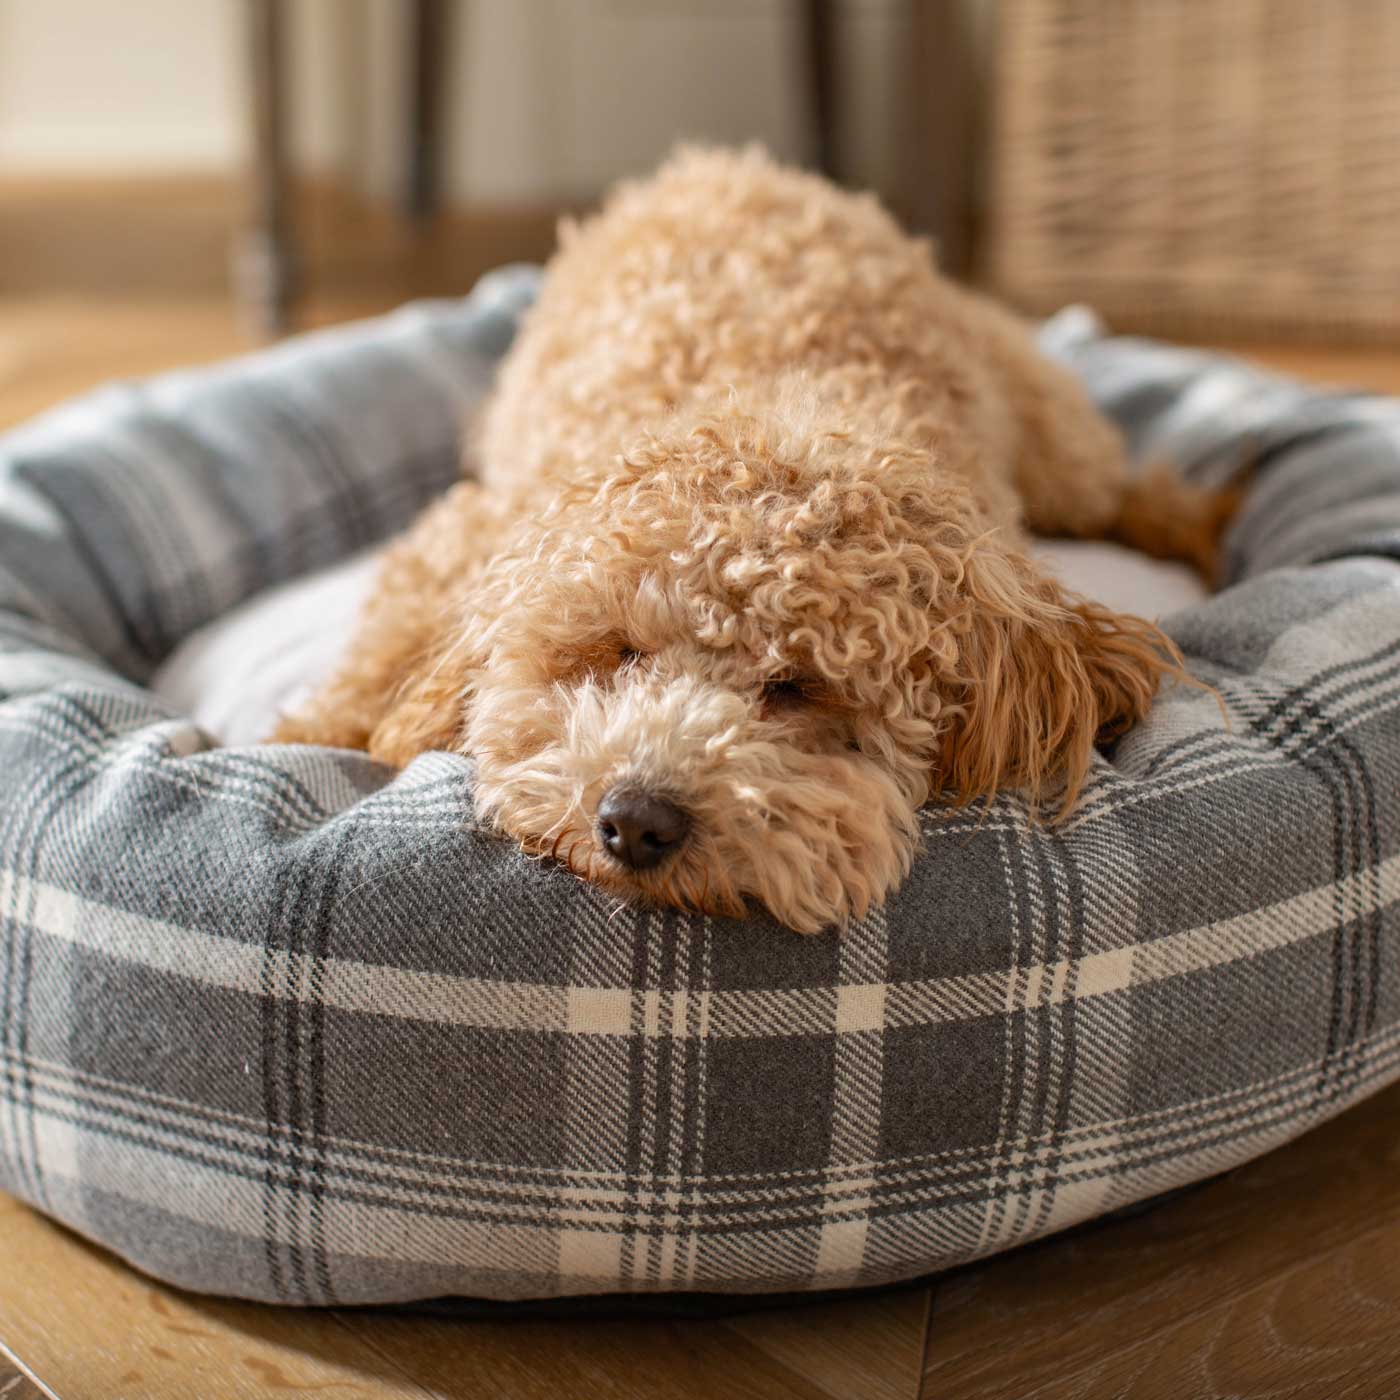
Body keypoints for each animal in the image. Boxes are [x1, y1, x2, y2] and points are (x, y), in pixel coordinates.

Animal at [275, 147, 1237, 935]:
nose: (637, 821)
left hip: (1056, 435)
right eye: (621, 651)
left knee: (1124, 486)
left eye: (794, 689)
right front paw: (323, 734)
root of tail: (724, 161)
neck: (777, 396)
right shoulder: (468, 534)